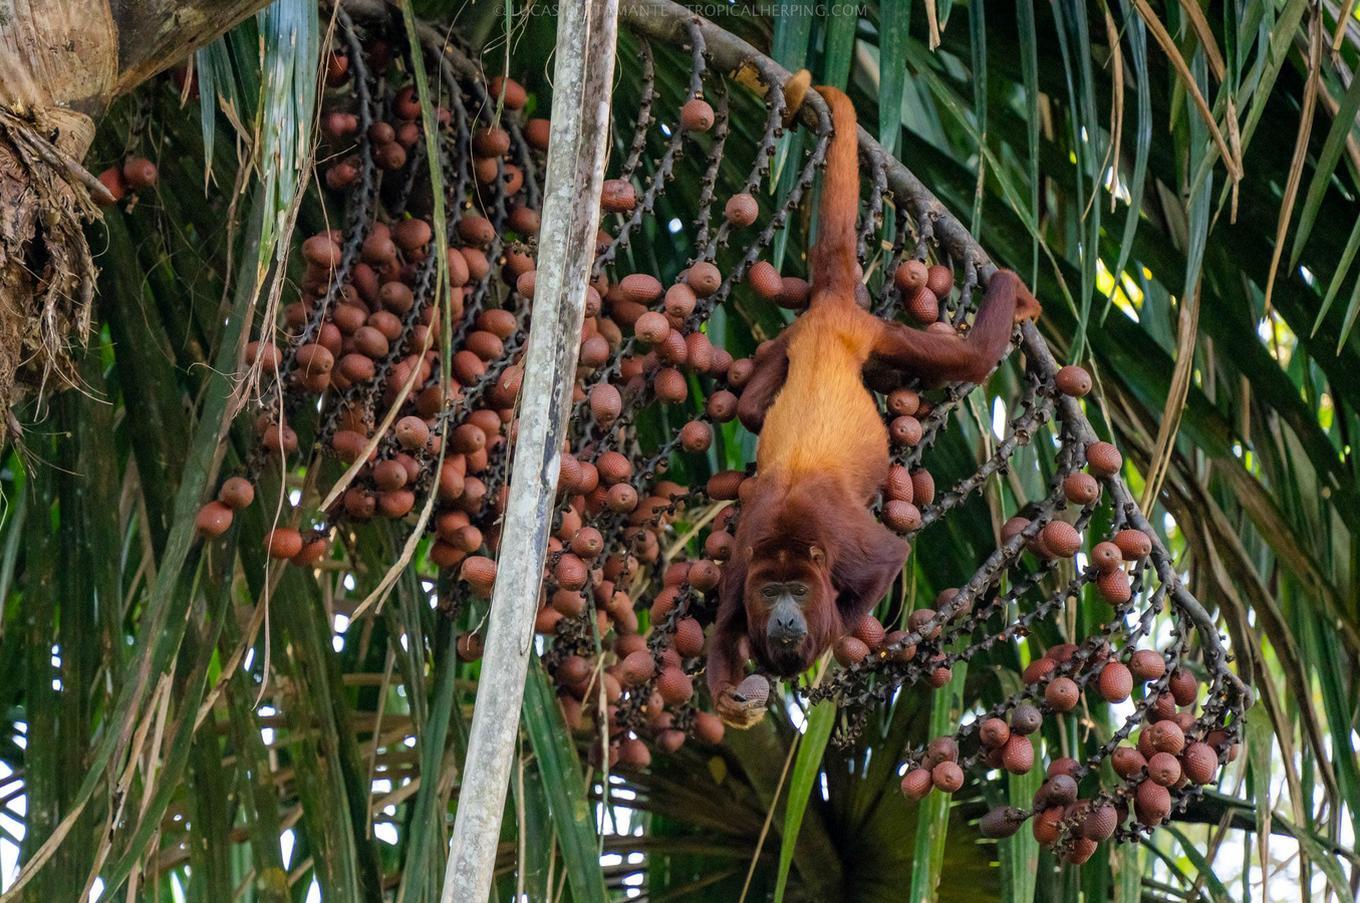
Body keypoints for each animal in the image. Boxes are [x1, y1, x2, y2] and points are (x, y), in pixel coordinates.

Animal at [707, 79, 1044, 728]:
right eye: (770, 591)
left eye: (798, 592)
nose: (784, 617)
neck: (791, 538)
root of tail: (834, 309)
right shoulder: (740, 569)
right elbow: (723, 634)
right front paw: (737, 700)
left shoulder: (848, 547)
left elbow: (889, 556)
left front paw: (831, 635)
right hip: (796, 336)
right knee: (753, 411)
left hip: (875, 330)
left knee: (971, 359)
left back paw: (1011, 291)